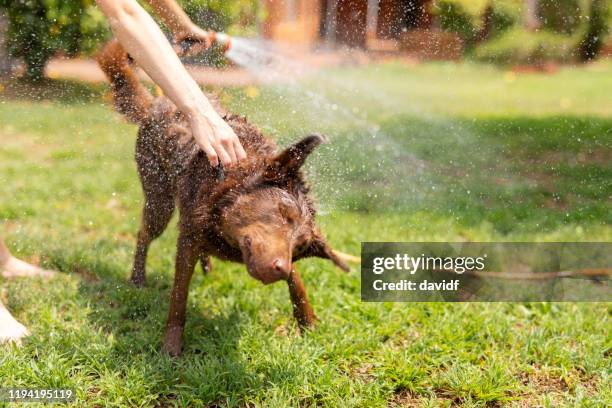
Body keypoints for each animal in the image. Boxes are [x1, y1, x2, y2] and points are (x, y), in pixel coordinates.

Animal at [98, 39, 352, 356]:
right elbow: (179, 298)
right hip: (160, 201)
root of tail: (155, 105)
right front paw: (171, 349)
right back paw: (137, 278)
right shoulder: (189, 238)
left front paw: (308, 324)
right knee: (144, 235)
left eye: (301, 246)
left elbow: (299, 284)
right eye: (284, 213)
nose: (279, 269)